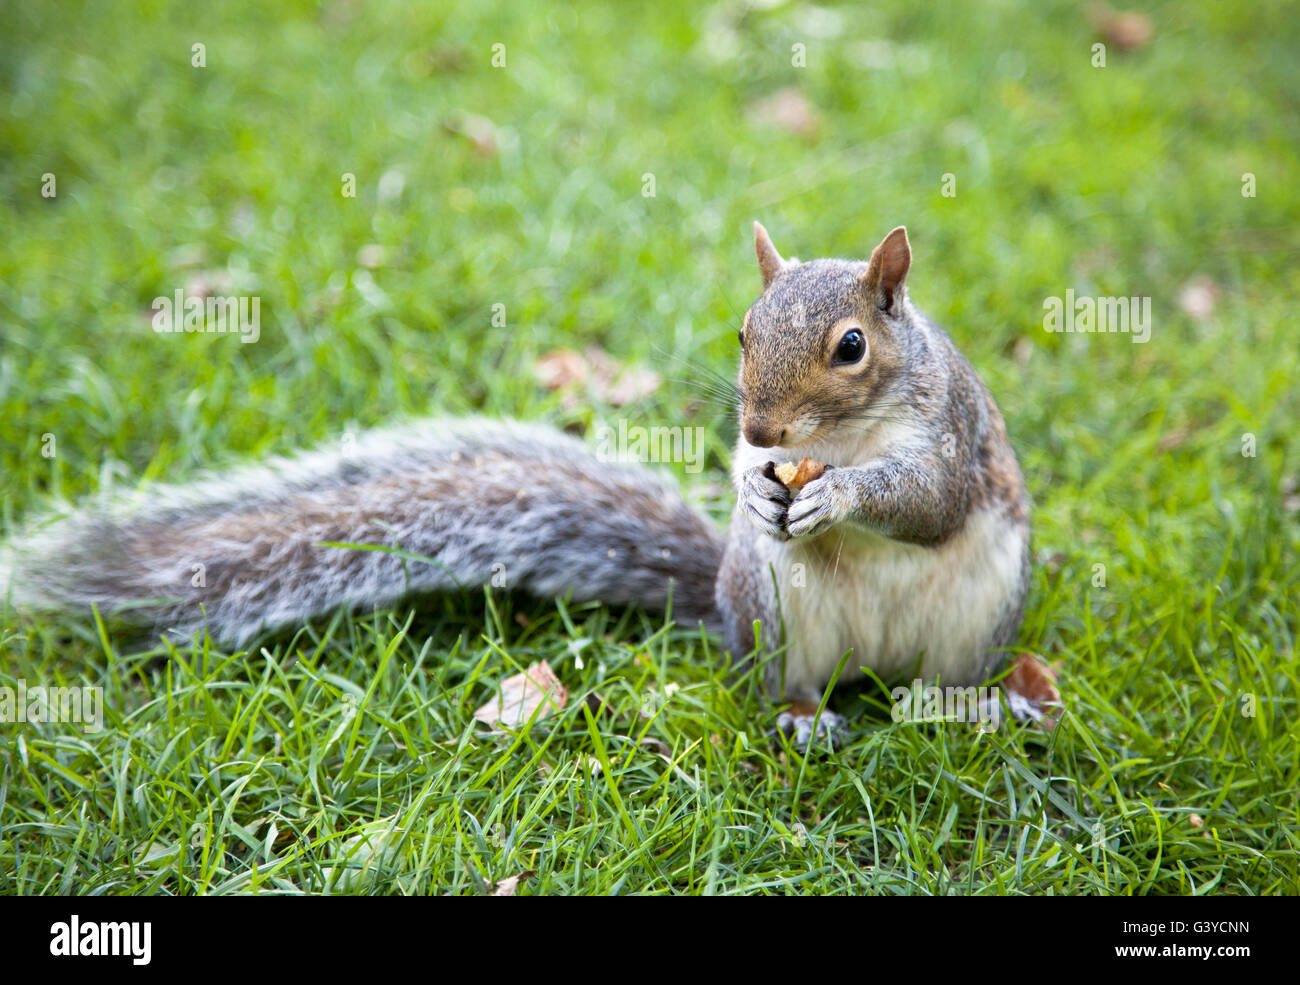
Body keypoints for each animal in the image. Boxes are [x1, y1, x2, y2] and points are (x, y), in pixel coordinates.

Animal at [5, 226, 1029, 748]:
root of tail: (871, 672)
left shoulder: (950, 434)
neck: (839, 438)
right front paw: (756, 494)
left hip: (979, 613)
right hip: (775, 609)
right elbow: (752, 484)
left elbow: (926, 502)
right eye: (742, 330)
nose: (762, 432)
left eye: (851, 346)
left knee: (940, 688)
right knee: (789, 683)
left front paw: (838, 497)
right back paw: (802, 717)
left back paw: (981, 707)